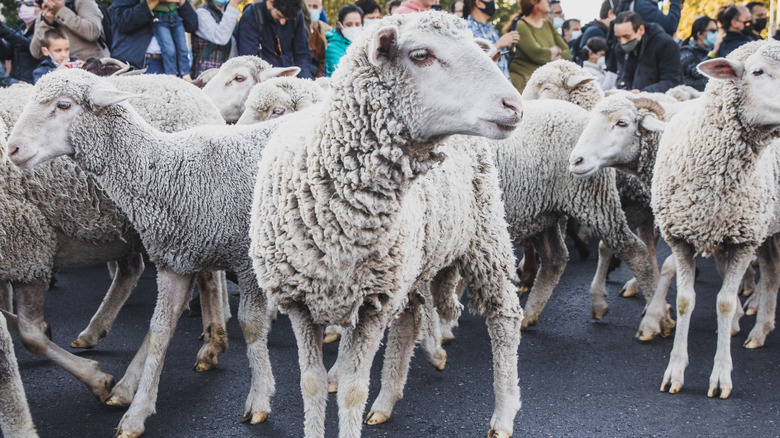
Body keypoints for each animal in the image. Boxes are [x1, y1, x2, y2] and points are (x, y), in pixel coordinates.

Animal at [7, 69, 282, 438]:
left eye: (63, 105)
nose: (12, 149)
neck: (171, 168)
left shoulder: (246, 261)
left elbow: (252, 326)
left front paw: (260, 399)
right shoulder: (174, 262)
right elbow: (161, 331)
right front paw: (135, 414)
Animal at [250, 12, 524, 438]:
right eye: (421, 54)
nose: (514, 104)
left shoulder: (371, 306)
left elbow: (351, 389)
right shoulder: (302, 302)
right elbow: (311, 385)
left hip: (486, 235)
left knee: (504, 319)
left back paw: (504, 414)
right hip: (411, 263)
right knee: (410, 321)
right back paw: (386, 402)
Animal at [648, 42, 780, 400]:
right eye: (757, 71)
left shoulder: (744, 240)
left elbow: (724, 303)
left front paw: (721, 376)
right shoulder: (681, 236)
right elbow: (684, 301)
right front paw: (674, 372)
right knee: (772, 271)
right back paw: (759, 329)